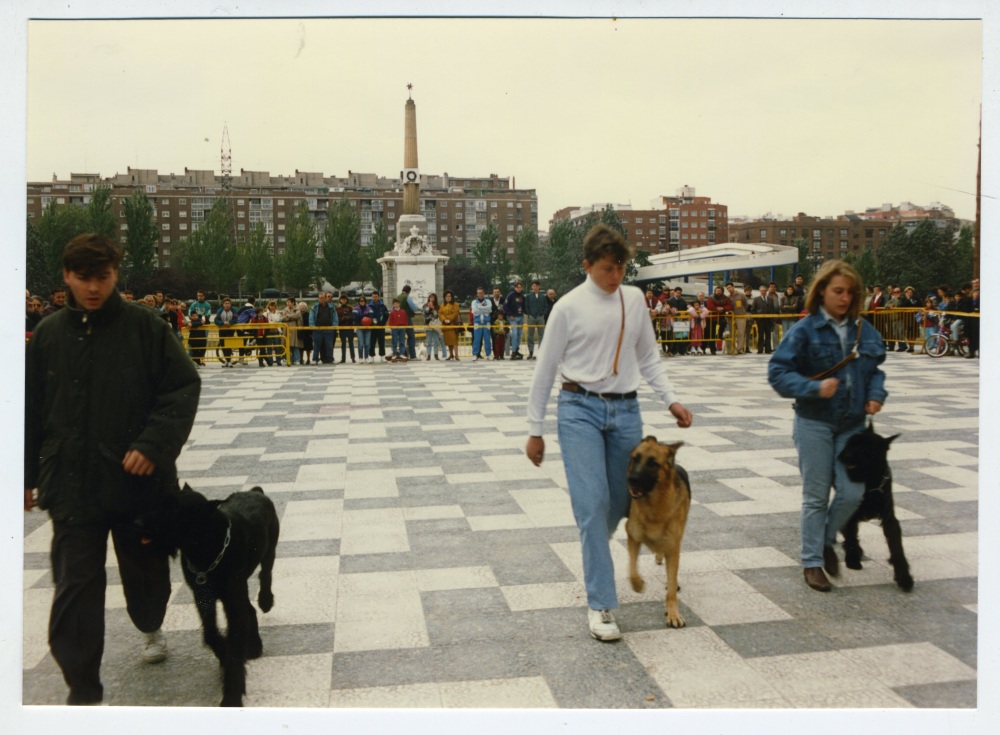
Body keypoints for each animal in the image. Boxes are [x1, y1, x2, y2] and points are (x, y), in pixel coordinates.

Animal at [135, 484, 280, 708]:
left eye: (174, 509)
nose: (138, 523)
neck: (206, 548)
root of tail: (255, 491)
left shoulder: (231, 603)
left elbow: (235, 647)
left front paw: (232, 697)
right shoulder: (203, 597)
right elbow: (211, 634)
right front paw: (223, 653)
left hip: (268, 552)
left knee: (266, 574)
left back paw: (265, 601)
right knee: (250, 610)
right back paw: (255, 644)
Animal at [620, 436, 692, 628]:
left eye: (653, 463)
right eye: (635, 458)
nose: (631, 479)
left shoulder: (673, 547)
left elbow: (672, 589)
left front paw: (673, 613)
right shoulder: (633, 537)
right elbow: (632, 569)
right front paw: (638, 584)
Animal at [836, 422, 916, 588]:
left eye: (867, 446)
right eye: (850, 441)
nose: (844, 456)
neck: (871, 482)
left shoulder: (889, 519)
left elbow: (897, 547)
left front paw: (904, 577)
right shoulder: (850, 513)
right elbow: (851, 535)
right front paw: (852, 559)